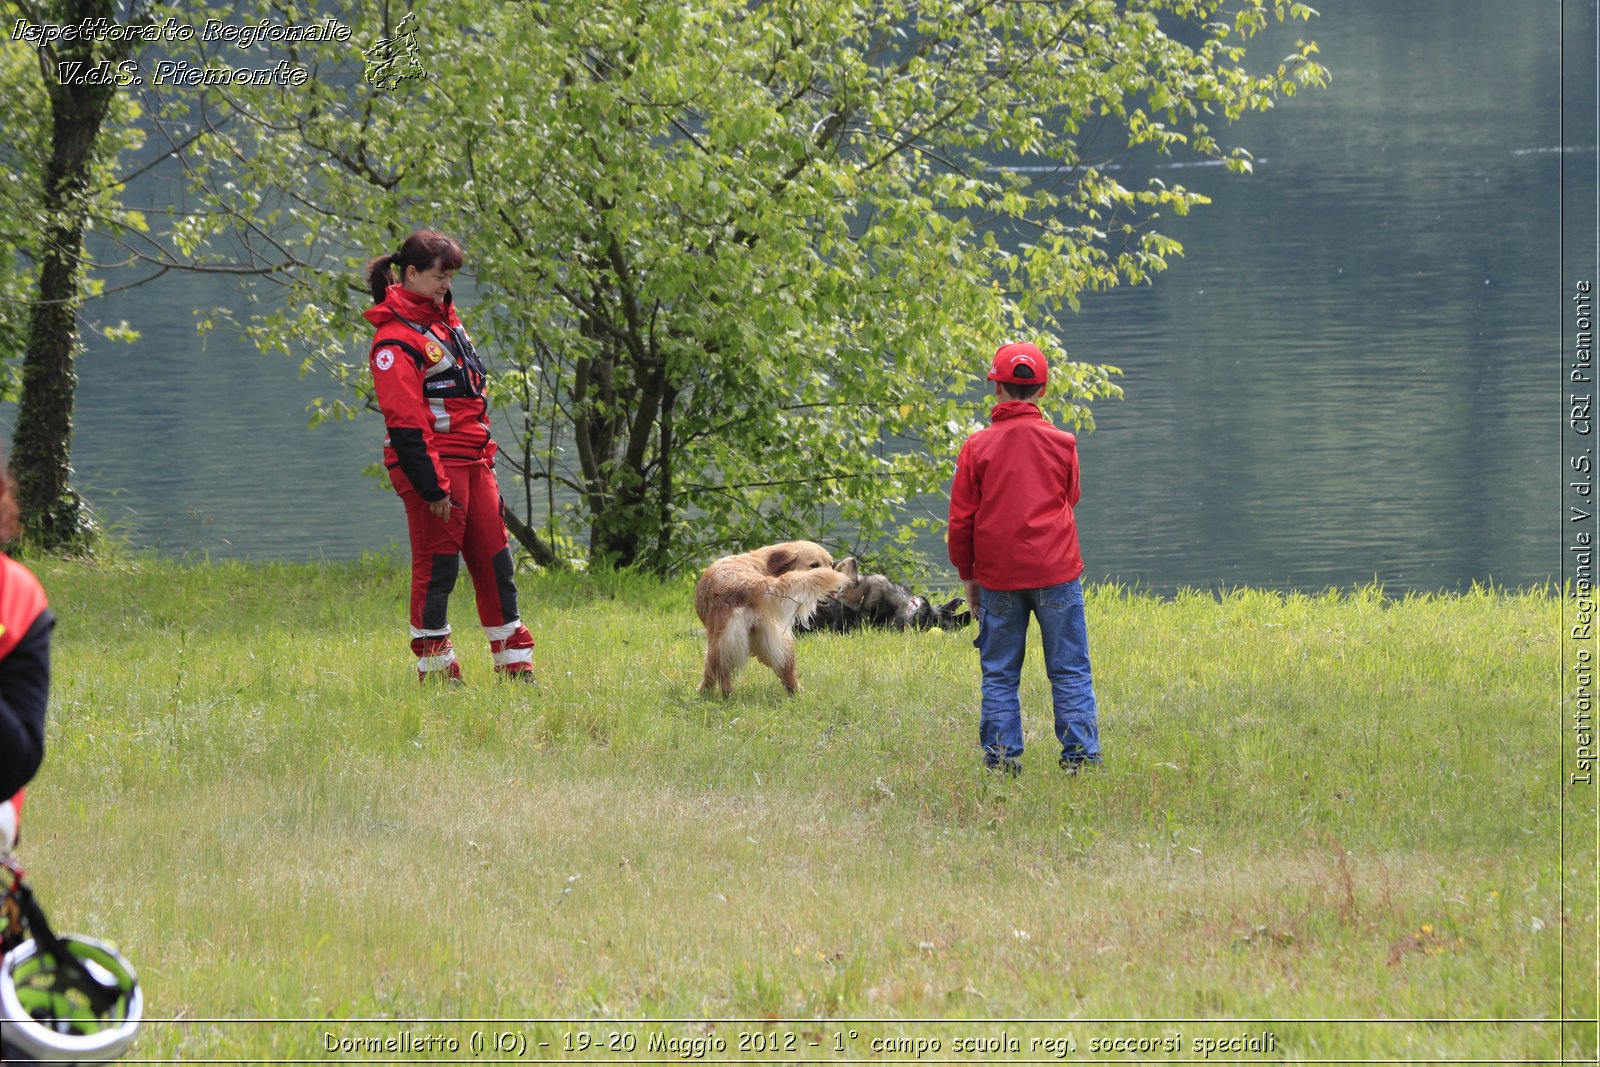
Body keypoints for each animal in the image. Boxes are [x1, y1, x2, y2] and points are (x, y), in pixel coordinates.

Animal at [694, 543, 857, 694]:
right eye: (814, 565)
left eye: (831, 564)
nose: (838, 588)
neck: (763, 563)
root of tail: (751, 583)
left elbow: (709, 672)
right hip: (777, 641)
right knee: (788, 674)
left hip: (720, 644)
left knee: (720, 676)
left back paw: (716, 697)